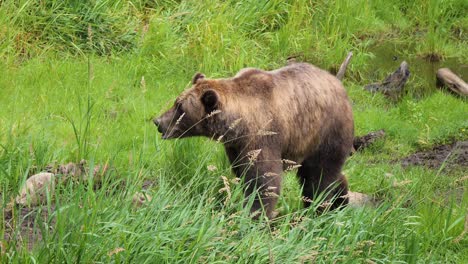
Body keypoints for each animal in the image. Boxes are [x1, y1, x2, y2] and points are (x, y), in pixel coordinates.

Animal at [154, 62, 354, 219]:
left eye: (181, 108)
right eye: (177, 102)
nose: (158, 122)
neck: (238, 123)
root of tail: (340, 86)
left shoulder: (263, 136)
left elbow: (263, 181)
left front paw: (254, 214)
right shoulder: (236, 146)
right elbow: (243, 172)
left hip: (327, 131)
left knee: (319, 175)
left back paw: (319, 208)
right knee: (329, 173)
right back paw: (340, 199)